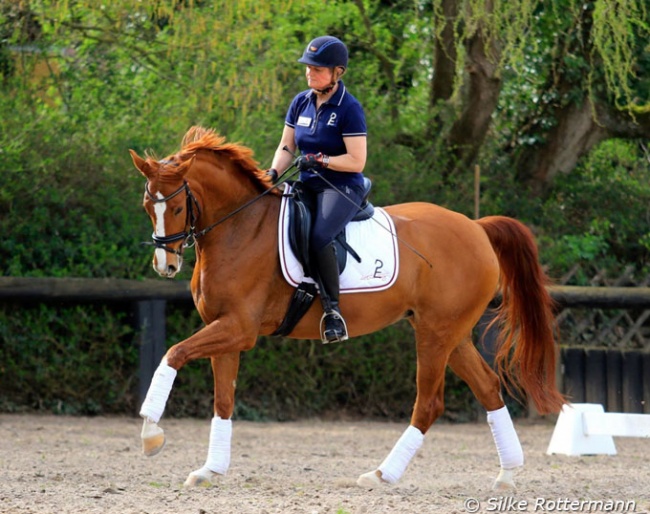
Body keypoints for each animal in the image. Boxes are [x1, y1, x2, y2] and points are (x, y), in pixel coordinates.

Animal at [128, 124, 560, 488]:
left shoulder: (238, 328)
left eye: (177, 207)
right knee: (487, 387)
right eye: (148, 206)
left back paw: (382, 475)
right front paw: (210, 469)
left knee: (429, 403)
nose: (166, 266)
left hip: (436, 333)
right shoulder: (225, 329)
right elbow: (223, 400)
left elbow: (173, 354)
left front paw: (151, 435)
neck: (241, 228)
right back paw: (506, 475)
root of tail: (477, 227)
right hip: (450, 333)